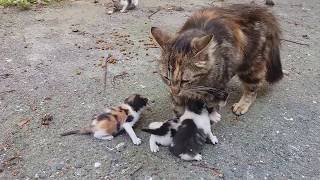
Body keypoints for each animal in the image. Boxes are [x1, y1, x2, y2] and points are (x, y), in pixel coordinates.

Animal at [151, 4, 282, 116]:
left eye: (184, 80)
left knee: (253, 87)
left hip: (250, 65)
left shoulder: (217, 93)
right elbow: (179, 111)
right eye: (166, 77)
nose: (174, 91)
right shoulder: (178, 98)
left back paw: (242, 104)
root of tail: (260, 9)